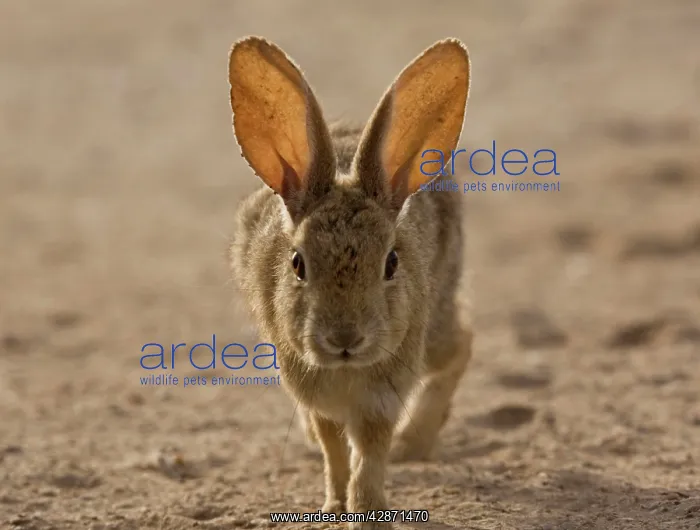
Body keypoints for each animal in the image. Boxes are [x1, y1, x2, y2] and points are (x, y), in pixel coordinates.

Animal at [228, 36, 473, 529]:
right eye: (298, 264)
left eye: (391, 263)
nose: (344, 338)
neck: (344, 371)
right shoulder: (314, 390)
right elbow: (333, 451)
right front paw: (333, 508)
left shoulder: (382, 395)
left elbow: (370, 456)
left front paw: (369, 511)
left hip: (434, 327)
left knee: (462, 343)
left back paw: (414, 441)